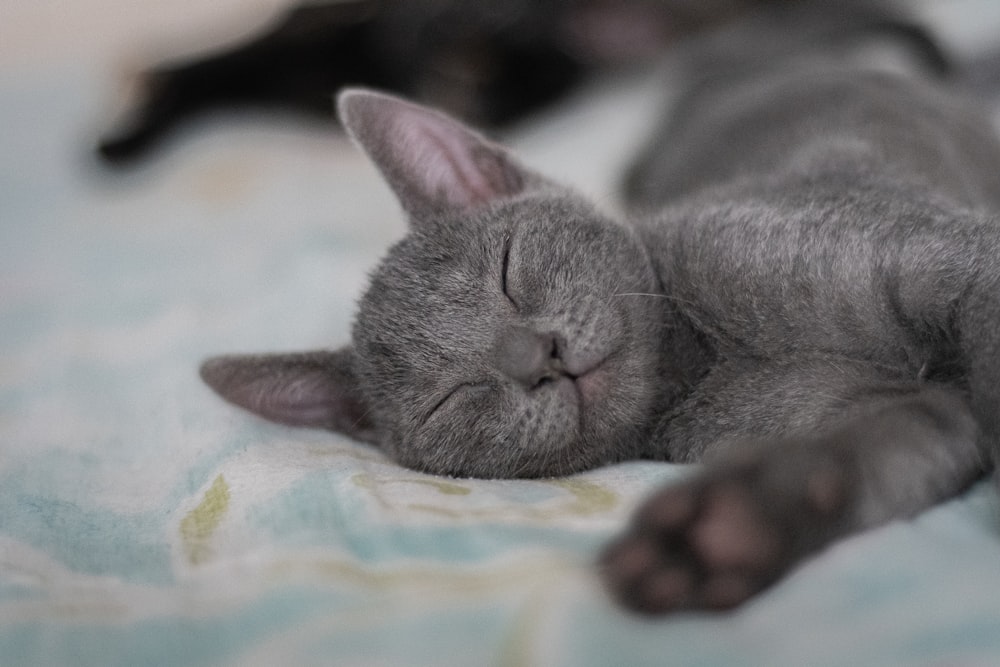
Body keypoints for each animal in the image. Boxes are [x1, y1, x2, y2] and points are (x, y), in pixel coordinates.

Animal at [199, 1, 1000, 616]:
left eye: (509, 270)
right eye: (449, 398)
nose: (538, 357)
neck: (704, 359)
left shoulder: (955, 257)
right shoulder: (908, 417)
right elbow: (889, 453)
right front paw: (724, 532)